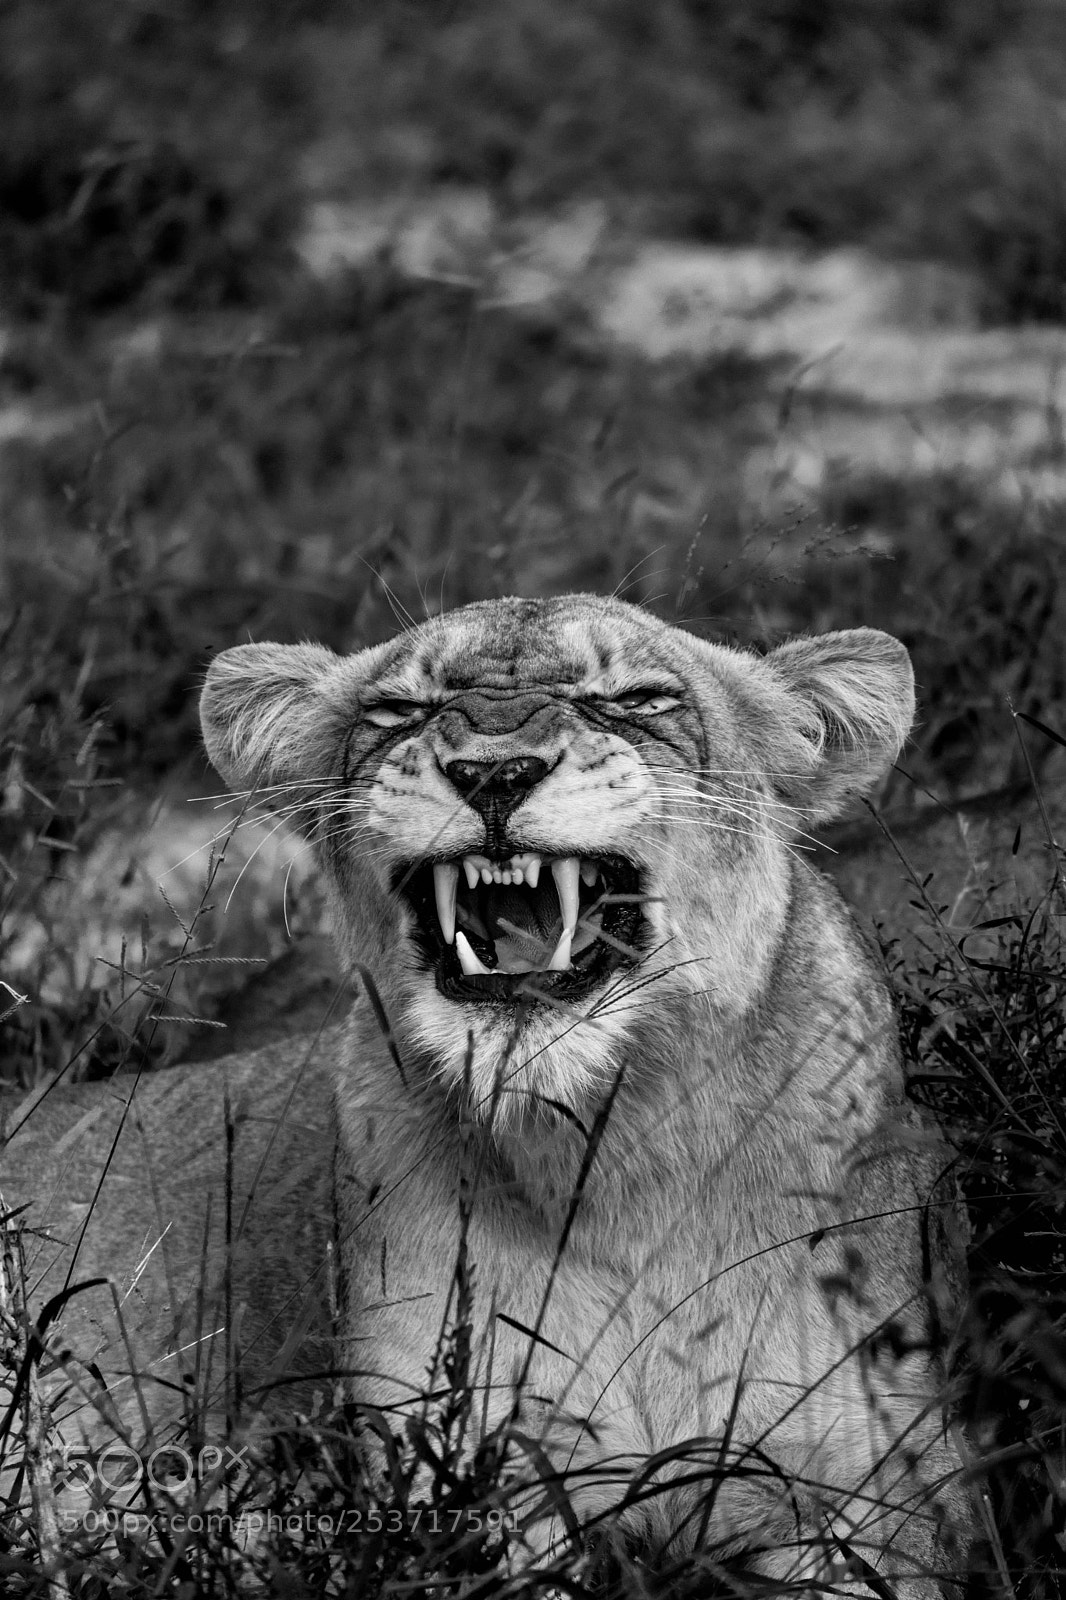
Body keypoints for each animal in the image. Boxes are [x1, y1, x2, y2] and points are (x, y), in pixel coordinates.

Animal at [2, 595, 970, 1590]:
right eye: (398, 710)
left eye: (639, 698)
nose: (494, 772)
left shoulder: (877, 1494)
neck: (608, 1165)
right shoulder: (458, 1478)